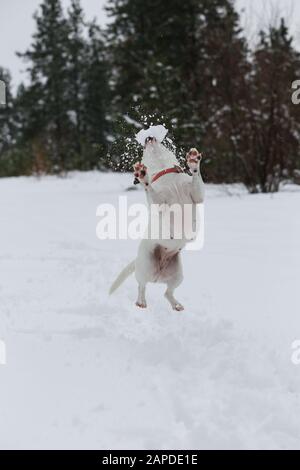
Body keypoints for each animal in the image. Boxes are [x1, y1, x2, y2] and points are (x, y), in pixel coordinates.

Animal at [109, 126, 205, 312]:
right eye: (143, 150)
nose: (148, 137)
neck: (165, 171)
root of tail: (158, 275)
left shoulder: (197, 195)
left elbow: (197, 180)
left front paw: (193, 162)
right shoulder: (159, 202)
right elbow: (151, 191)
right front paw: (143, 176)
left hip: (178, 275)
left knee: (167, 293)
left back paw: (176, 305)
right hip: (146, 265)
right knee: (142, 286)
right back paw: (141, 302)